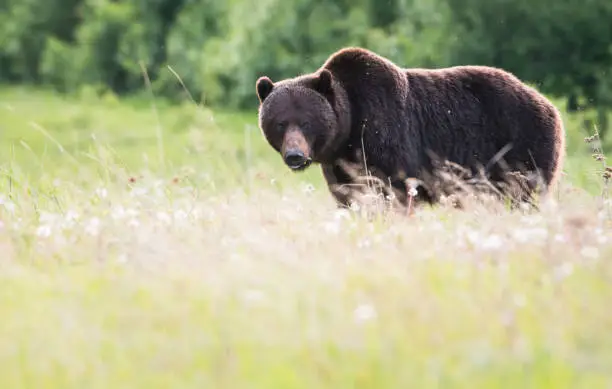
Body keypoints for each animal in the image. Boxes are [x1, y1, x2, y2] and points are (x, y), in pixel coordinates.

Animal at [252, 46, 564, 209]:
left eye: (306, 122)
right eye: (280, 123)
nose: (295, 155)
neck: (349, 130)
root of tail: (548, 104)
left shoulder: (387, 137)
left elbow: (396, 189)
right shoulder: (341, 164)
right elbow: (350, 196)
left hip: (520, 145)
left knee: (522, 194)